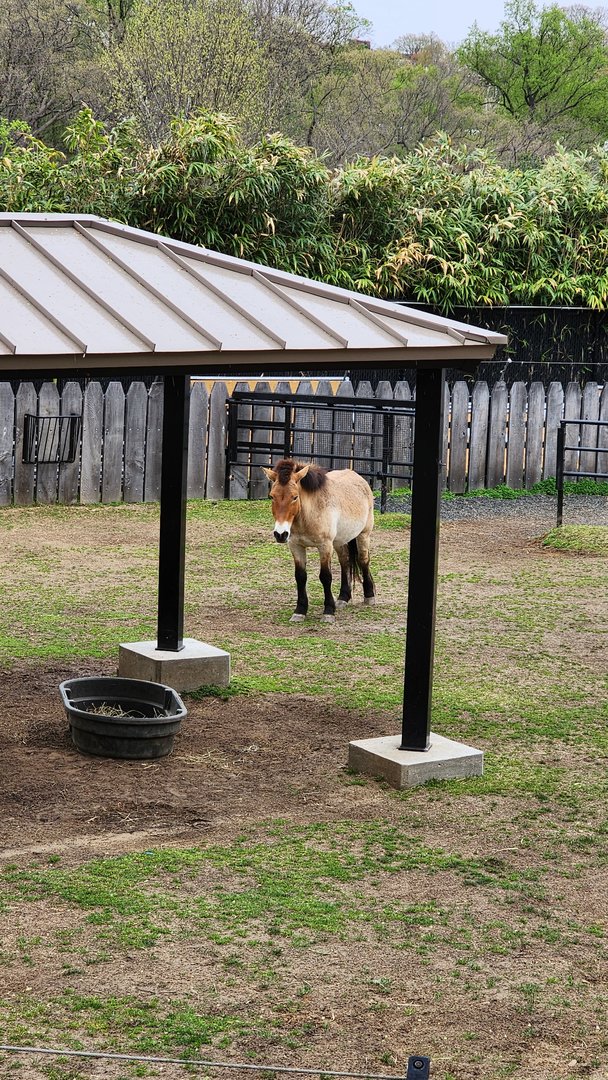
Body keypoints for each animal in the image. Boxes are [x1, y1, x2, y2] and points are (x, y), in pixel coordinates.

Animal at [262, 459, 376, 622]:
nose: (280, 534)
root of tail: (360, 479)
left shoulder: (325, 546)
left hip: (363, 535)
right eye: (272, 496)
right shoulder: (296, 546)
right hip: (340, 541)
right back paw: (343, 598)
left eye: (295, 497)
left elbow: (326, 577)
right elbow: (300, 577)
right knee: (345, 562)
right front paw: (300, 611)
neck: (309, 514)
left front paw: (328, 611)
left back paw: (369, 596)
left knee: (363, 560)